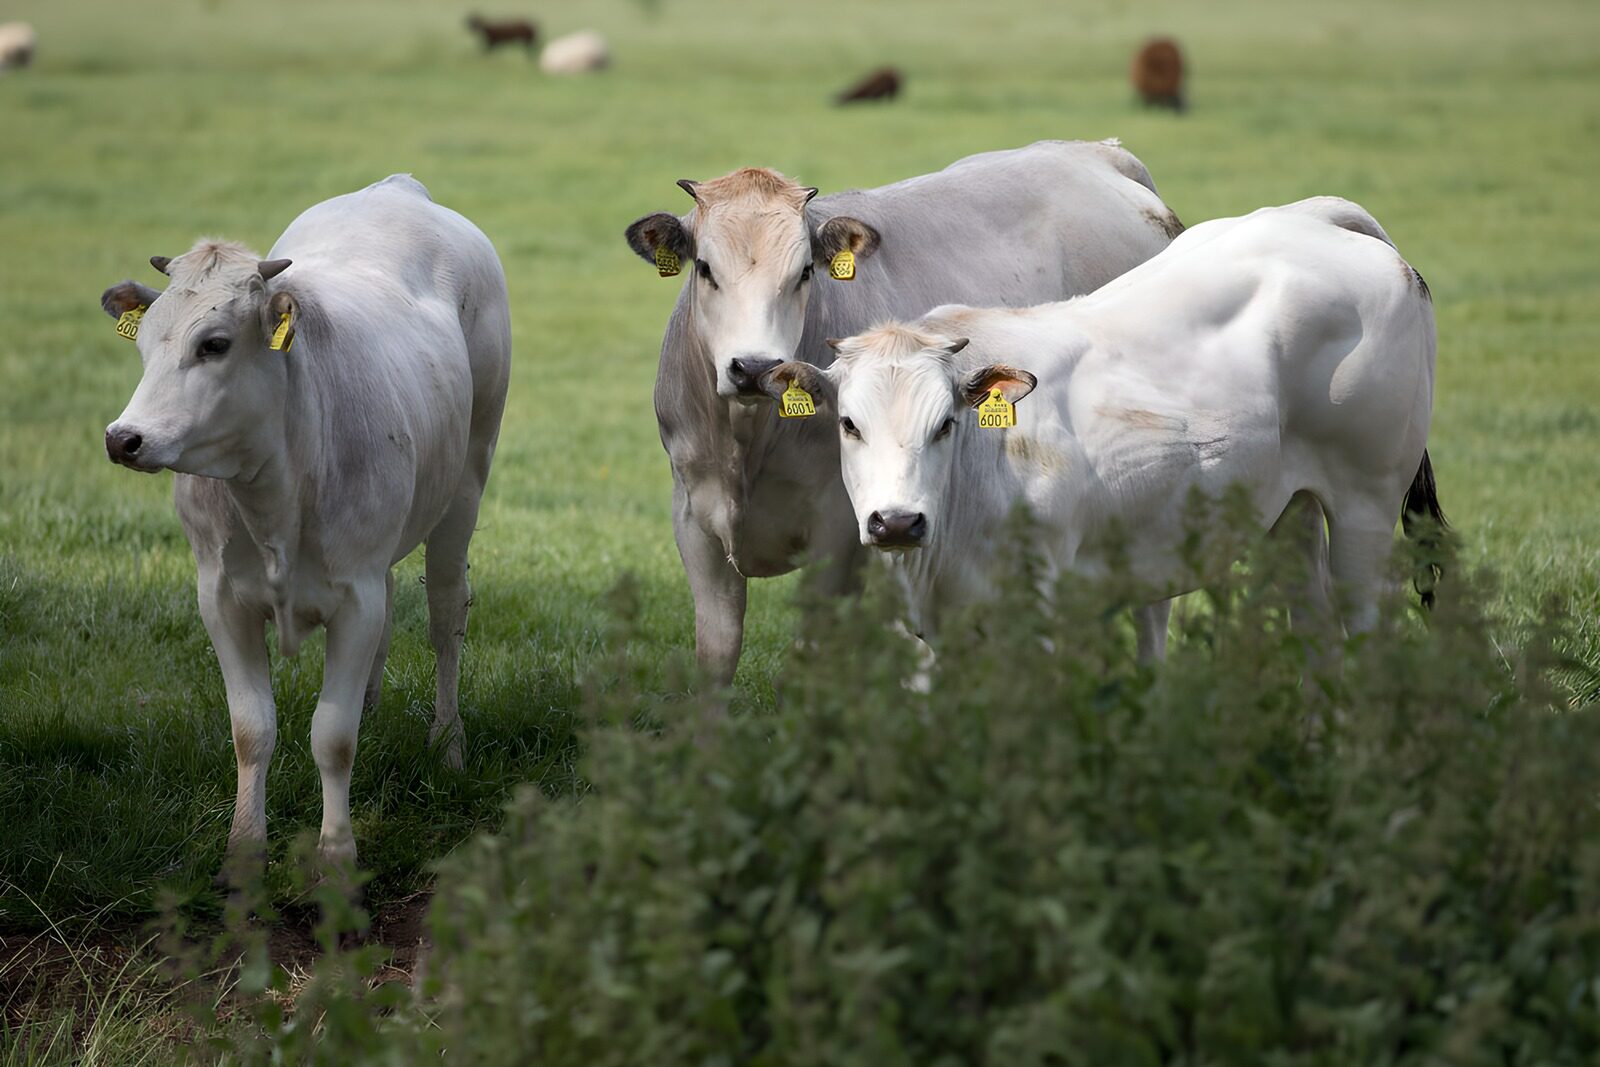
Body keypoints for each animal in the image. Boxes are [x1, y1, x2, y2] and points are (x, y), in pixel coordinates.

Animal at [98, 174, 511, 875]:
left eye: (213, 344)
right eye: (146, 343)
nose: (124, 438)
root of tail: (399, 188)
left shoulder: (355, 598)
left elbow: (332, 737)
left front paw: (338, 854)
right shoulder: (220, 598)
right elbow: (252, 730)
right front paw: (243, 850)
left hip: (467, 479)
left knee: (445, 614)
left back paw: (448, 743)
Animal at [623, 140, 1183, 686]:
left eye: (803, 272)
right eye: (704, 268)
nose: (754, 367)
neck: (746, 443)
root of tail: (1100, 152)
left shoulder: (839, 537)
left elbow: (809, 656)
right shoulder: (694, 521)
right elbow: (717, 655)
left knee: (1151, 607)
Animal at [758, 197, 1440, 656]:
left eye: (945, 424)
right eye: (849, 424)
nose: (897, 522)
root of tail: (1313, 216)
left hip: (1366, 509)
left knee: (1369, 625)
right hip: (1289, 509)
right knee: (1316, 624)